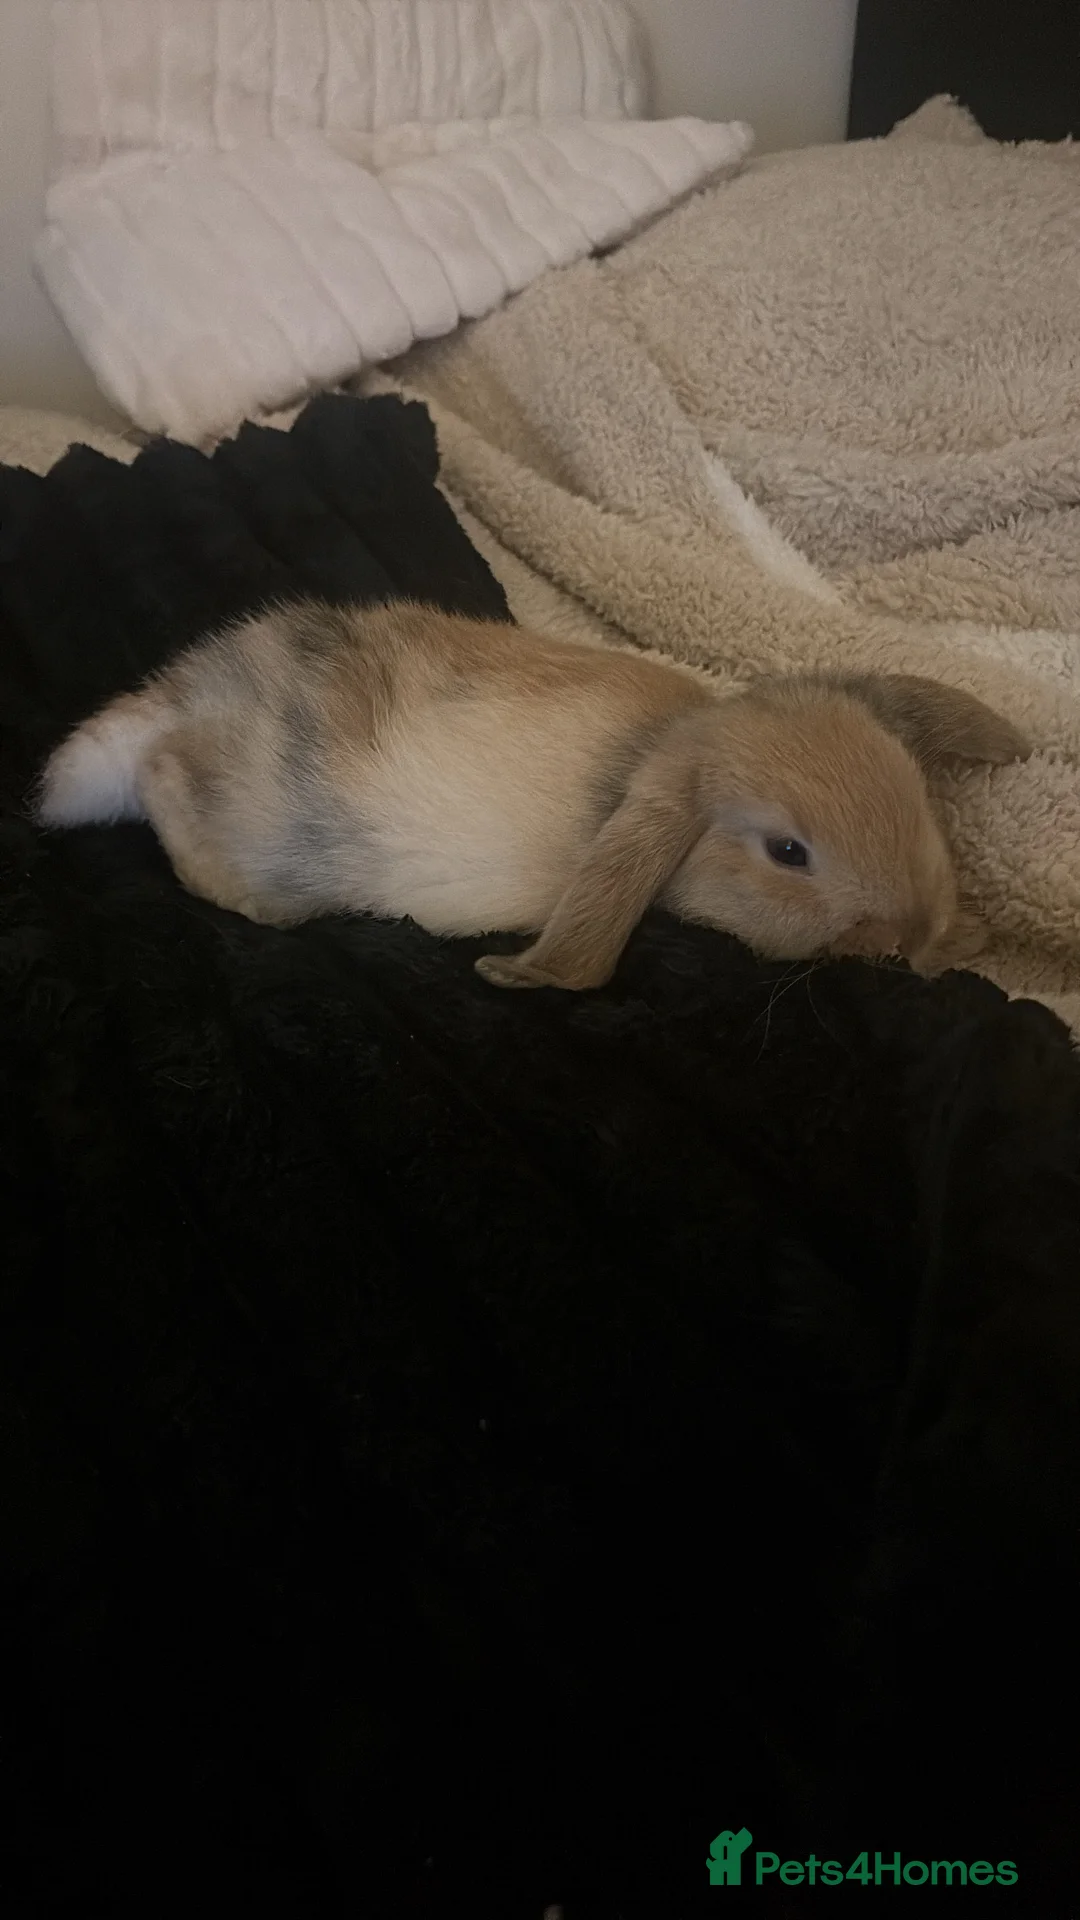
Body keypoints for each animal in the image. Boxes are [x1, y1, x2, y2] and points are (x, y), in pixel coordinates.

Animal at [36, 599, 1029, 991]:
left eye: (912, 792)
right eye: (788, 852)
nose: (909, 935)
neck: (655, 755)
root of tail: (195, 689)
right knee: (165, 777)